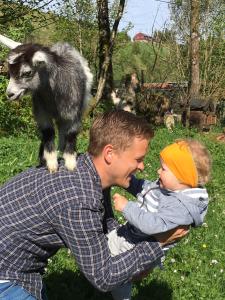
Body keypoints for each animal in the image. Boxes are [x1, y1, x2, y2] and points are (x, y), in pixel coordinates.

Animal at [0, 34, 92, 172]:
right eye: (10, 72)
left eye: (27, 72)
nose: (10, 94)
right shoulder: (42, 114)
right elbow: (48, 133)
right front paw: (51, 163)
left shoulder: (74, 115)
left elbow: (71, 134)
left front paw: (70, 163)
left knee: (63, 130)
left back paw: (62, 150)